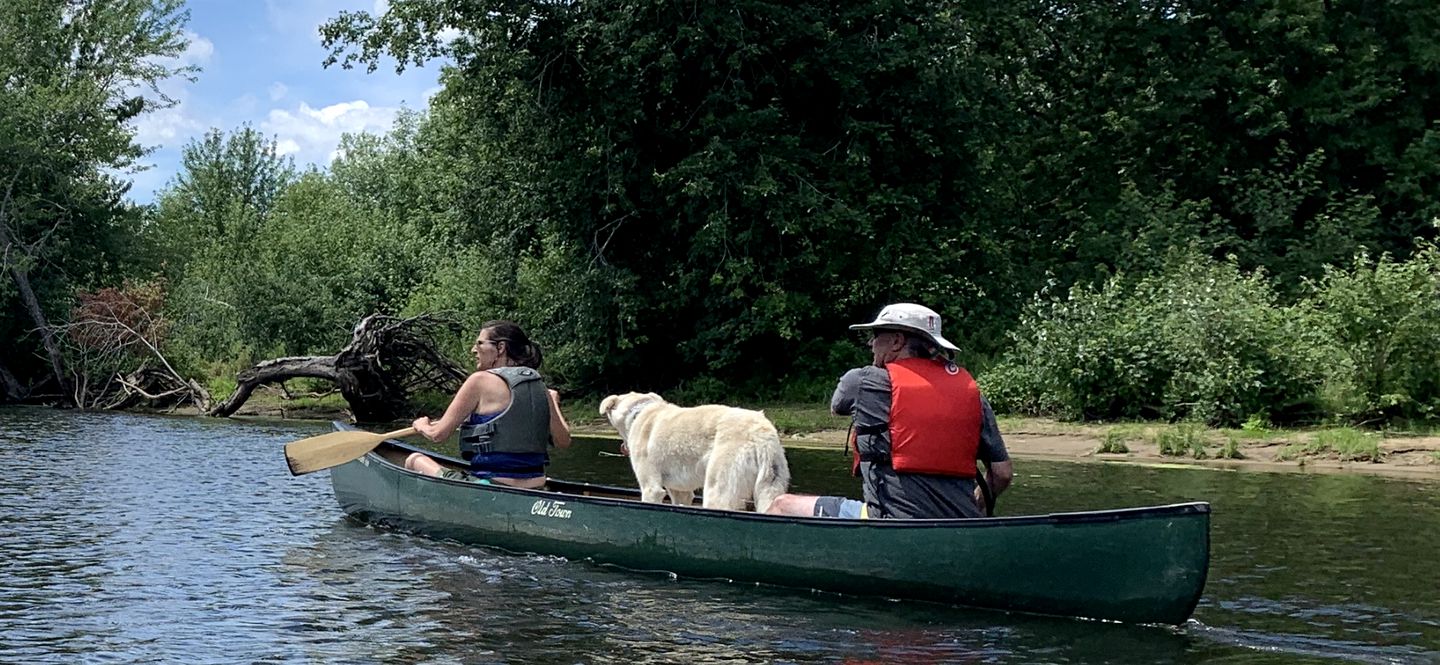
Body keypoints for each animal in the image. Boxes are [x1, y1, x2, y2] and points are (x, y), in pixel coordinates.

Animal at [601, 391, 794, 512]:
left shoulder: (651, 488)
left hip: (719, 485)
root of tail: (760, 434)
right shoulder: (680, 491)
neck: (638, 412)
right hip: (772, 481)